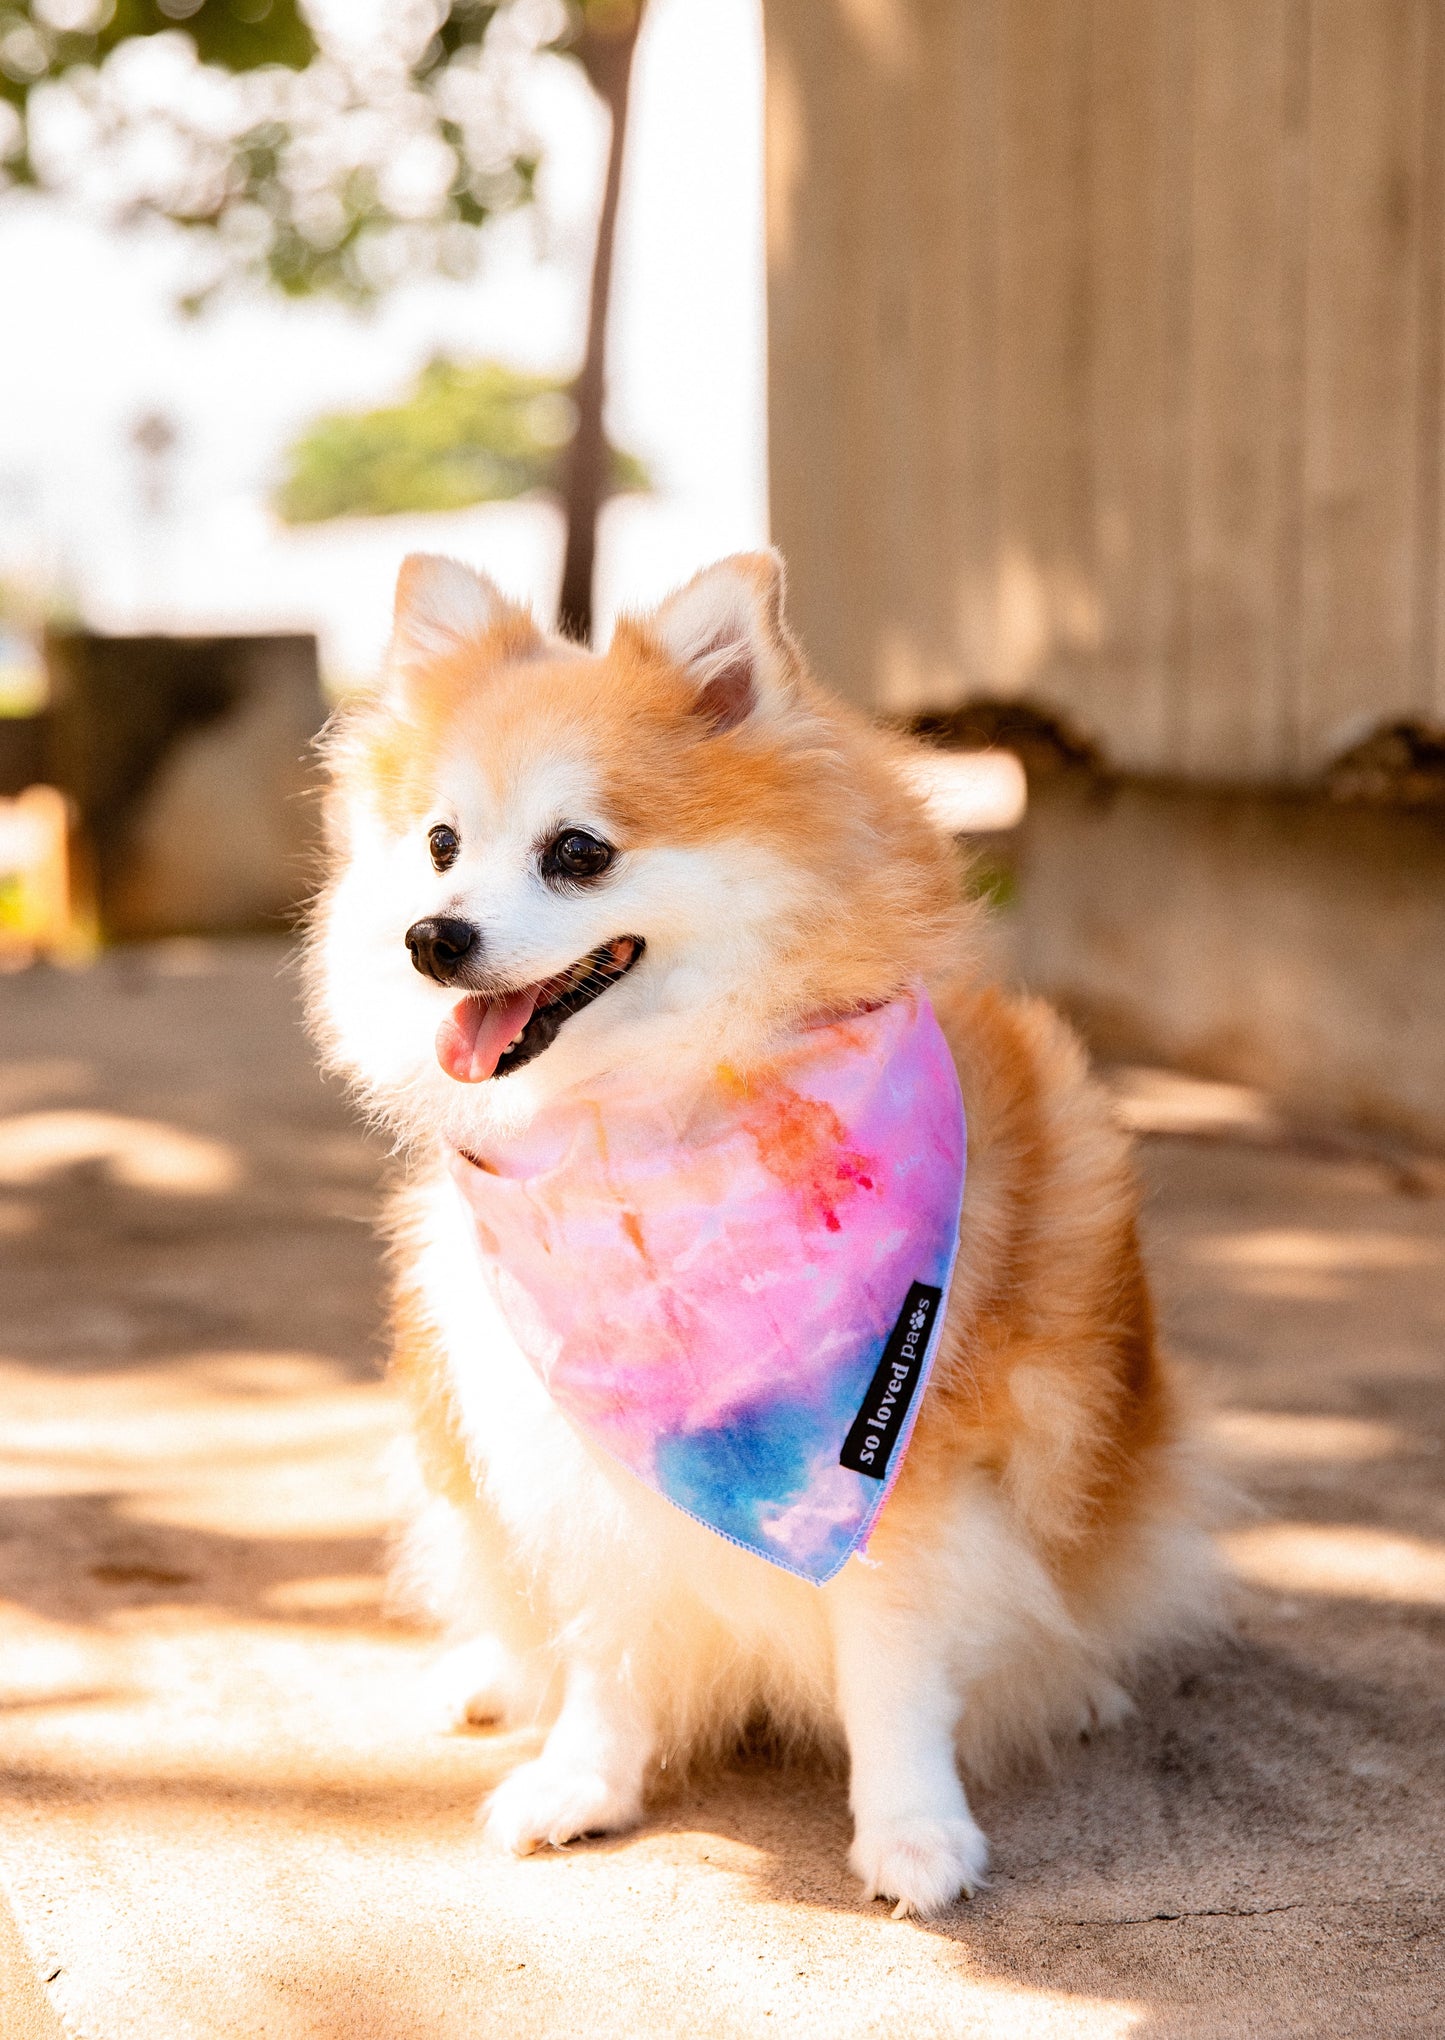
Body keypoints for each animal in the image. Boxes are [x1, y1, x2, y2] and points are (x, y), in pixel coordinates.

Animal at [310, 546, 1216, 1909]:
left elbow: (893, 1663)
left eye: (576, 851)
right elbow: (607, 1637)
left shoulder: (901, 1459)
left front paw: (912, 1830)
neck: (651, 1132)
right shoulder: (583, 1445)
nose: (434, 937)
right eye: (439, 846)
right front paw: (585, 1780)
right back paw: (493, 1679)